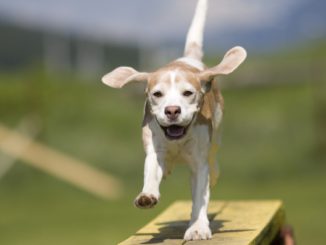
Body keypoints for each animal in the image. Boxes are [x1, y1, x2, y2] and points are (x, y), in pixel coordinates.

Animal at [102, 0, 247, 241]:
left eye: (188, 93)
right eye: (157, 94)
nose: (172, 110)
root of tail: (190, 59)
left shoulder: (199, 163)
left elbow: (199, 198)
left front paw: (197, 227)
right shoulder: (155, 151)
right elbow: (151, 174)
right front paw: (147, 196)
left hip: (215, 138)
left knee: (213, 162)